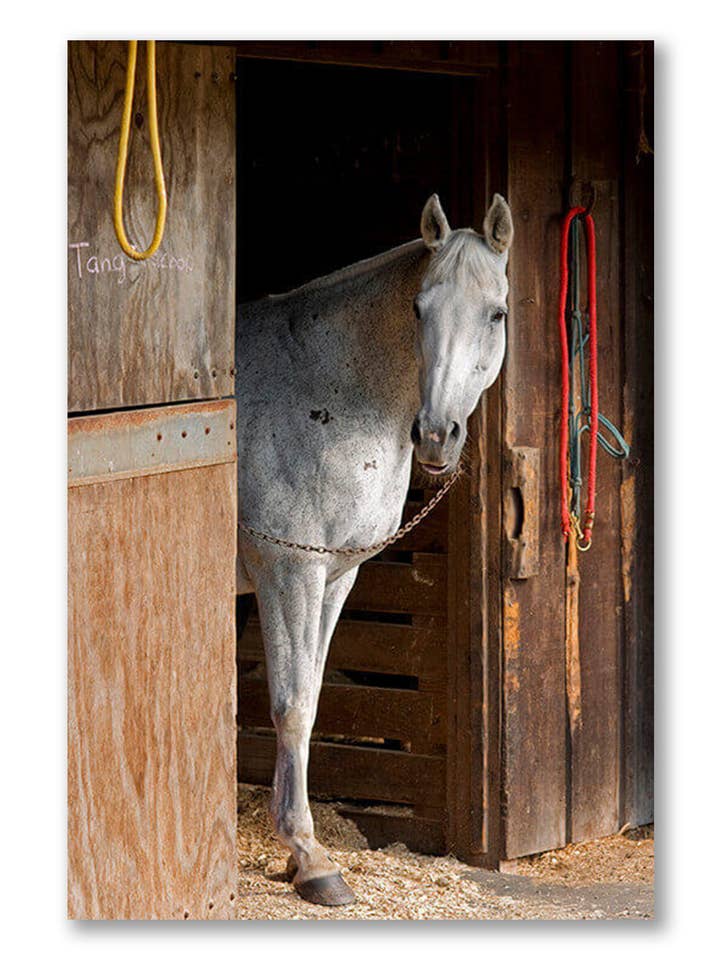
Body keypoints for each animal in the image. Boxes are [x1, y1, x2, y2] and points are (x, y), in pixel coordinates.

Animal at [235, 193, 514, 905]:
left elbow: (309, 697)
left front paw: (299, 853)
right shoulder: (290, 572)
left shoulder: (334, 578)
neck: (323, 388)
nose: (436, 435)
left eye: (496, 313)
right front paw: (310, 859)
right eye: (418, 307)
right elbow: (292, 705)